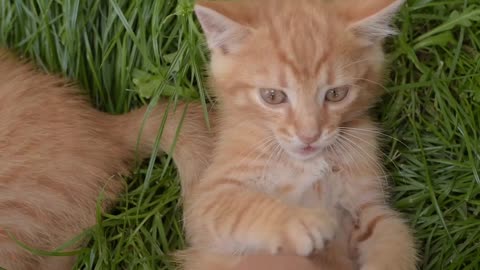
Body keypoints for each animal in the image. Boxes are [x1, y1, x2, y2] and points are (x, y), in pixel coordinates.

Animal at [180, 0, 416, 268]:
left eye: (336, 94)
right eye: (272, 96)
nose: (309, 136)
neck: (308, 163)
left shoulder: (366, 205)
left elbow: (393, 236)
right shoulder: (206, 203)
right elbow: (238, 207)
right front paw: (298, 222)